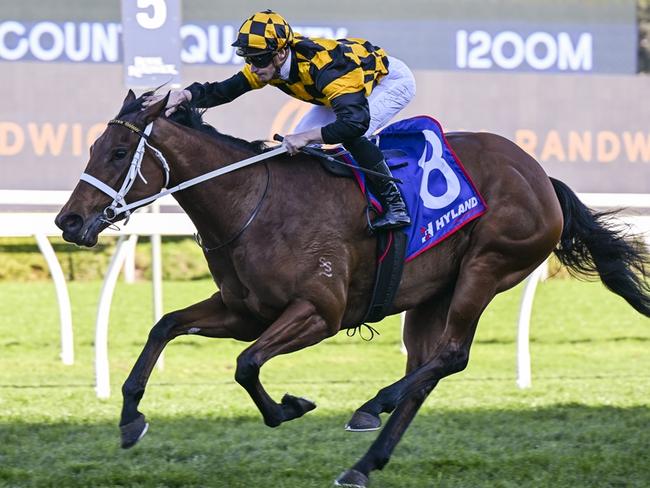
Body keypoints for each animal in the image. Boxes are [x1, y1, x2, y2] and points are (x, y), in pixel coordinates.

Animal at [57, 91, 648, 488]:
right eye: (92, 147)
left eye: (117, 153)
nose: (68, 221)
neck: (252, 200)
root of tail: (541, 176)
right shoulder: (243, 311)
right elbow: (165, 326)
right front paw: (130, 419)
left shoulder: (320, 311)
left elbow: (247, 365)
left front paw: (290, 407)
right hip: (433, 294)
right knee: (426, 371)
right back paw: (364, 464)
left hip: (488, 265)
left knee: (451, 356)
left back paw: (372, 405)